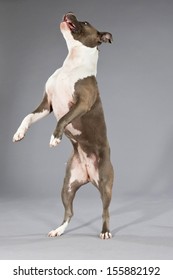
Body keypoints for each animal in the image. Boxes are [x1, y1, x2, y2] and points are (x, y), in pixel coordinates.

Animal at [12, 11, 114, 238]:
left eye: (85, 22)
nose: (70, 12)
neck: (72, 65)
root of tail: (88, 176)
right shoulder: (46, 105)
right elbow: (27, 117)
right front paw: (19, 133)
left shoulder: (82, 104)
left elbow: (63, 118)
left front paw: (55, 138)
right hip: (67, 186)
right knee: (69, 212)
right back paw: (58, 230)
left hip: (105, 183)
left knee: (105, 211)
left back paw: (105, 232)